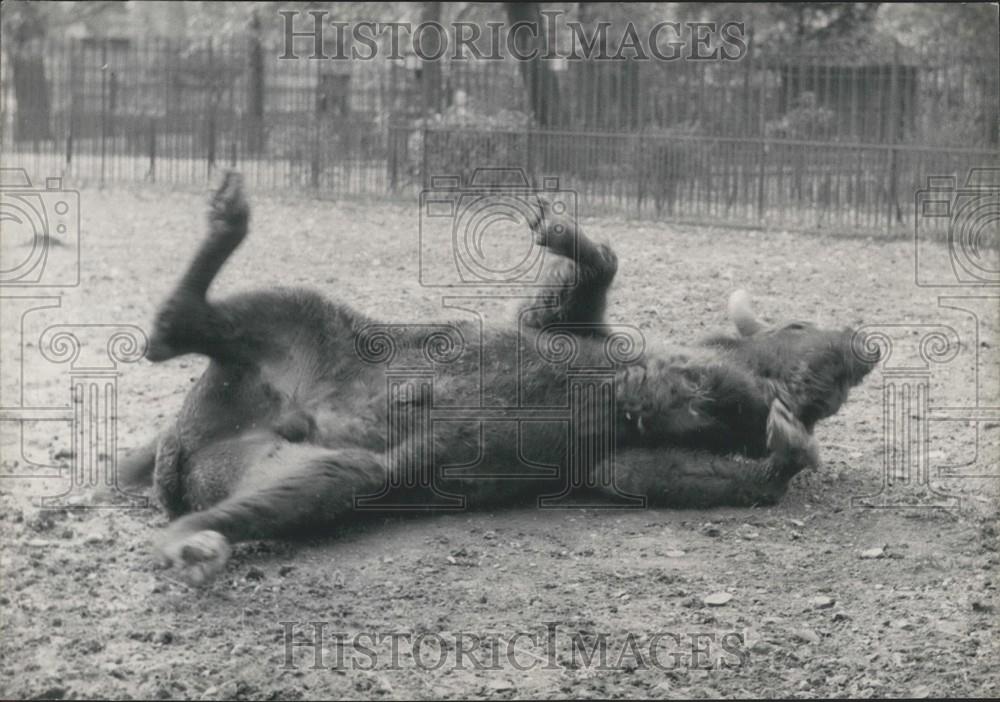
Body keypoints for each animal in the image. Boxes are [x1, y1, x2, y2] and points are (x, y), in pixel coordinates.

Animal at [119, 173, 876, 584]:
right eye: (801, 324)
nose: (867, 349)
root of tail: (178, 447)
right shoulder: (571, 327)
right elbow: (592, 278)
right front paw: (558, 230)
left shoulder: (625, 463)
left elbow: (729, 463)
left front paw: (771, 433)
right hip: (309, 319)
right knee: (180, 324)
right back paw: (228, 217)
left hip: (330, 474)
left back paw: (192, 540)